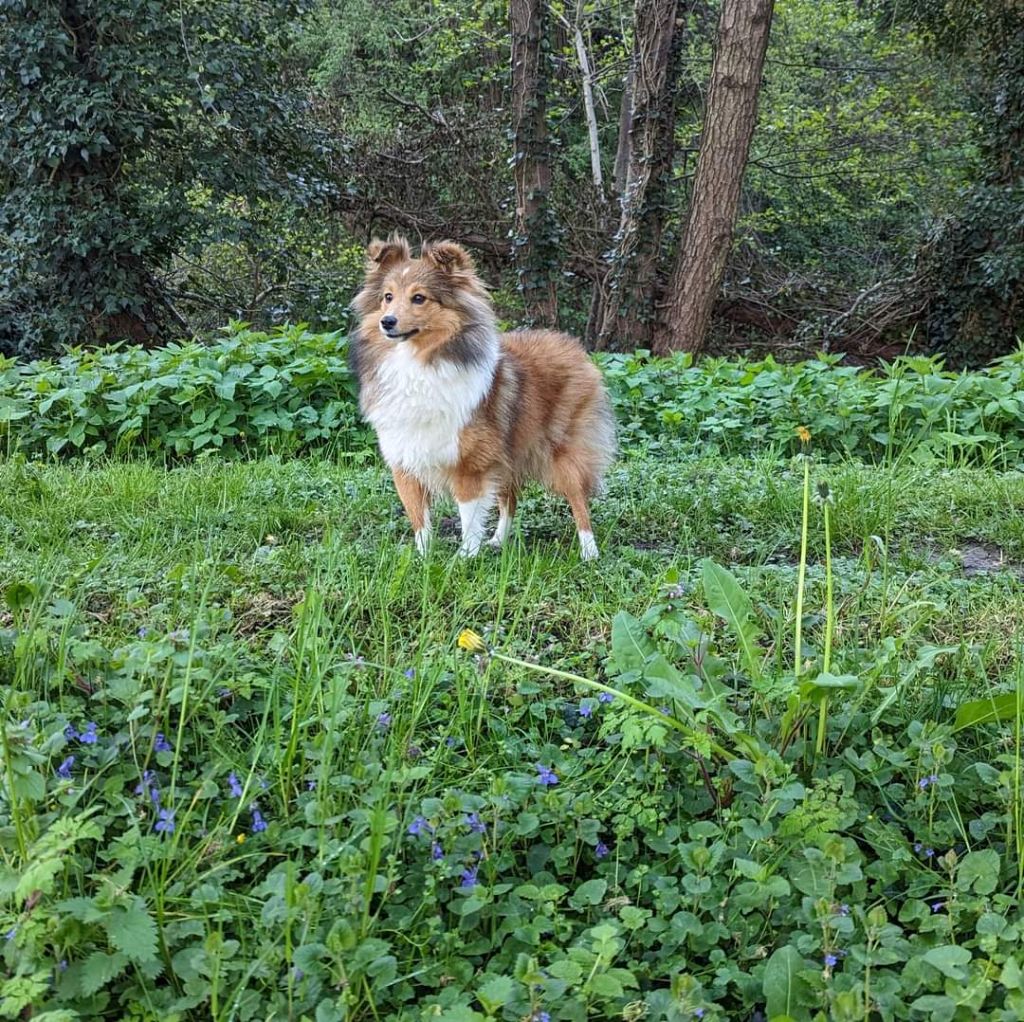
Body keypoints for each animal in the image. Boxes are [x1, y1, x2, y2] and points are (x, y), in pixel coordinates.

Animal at [350, 234, 614, 561]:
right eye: (387, 296)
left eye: (419, 298)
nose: (387, 322)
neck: (418, 365)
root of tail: (572, 344)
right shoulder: (406, 461)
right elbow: (419, 519)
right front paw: (423, 559)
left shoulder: (470, 463)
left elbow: (469, 515)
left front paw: (465, 558)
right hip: (507, 450)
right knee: (510, 498)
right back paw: (499, 541)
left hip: (563, 452)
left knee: (578, 500)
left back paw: (589, 552)